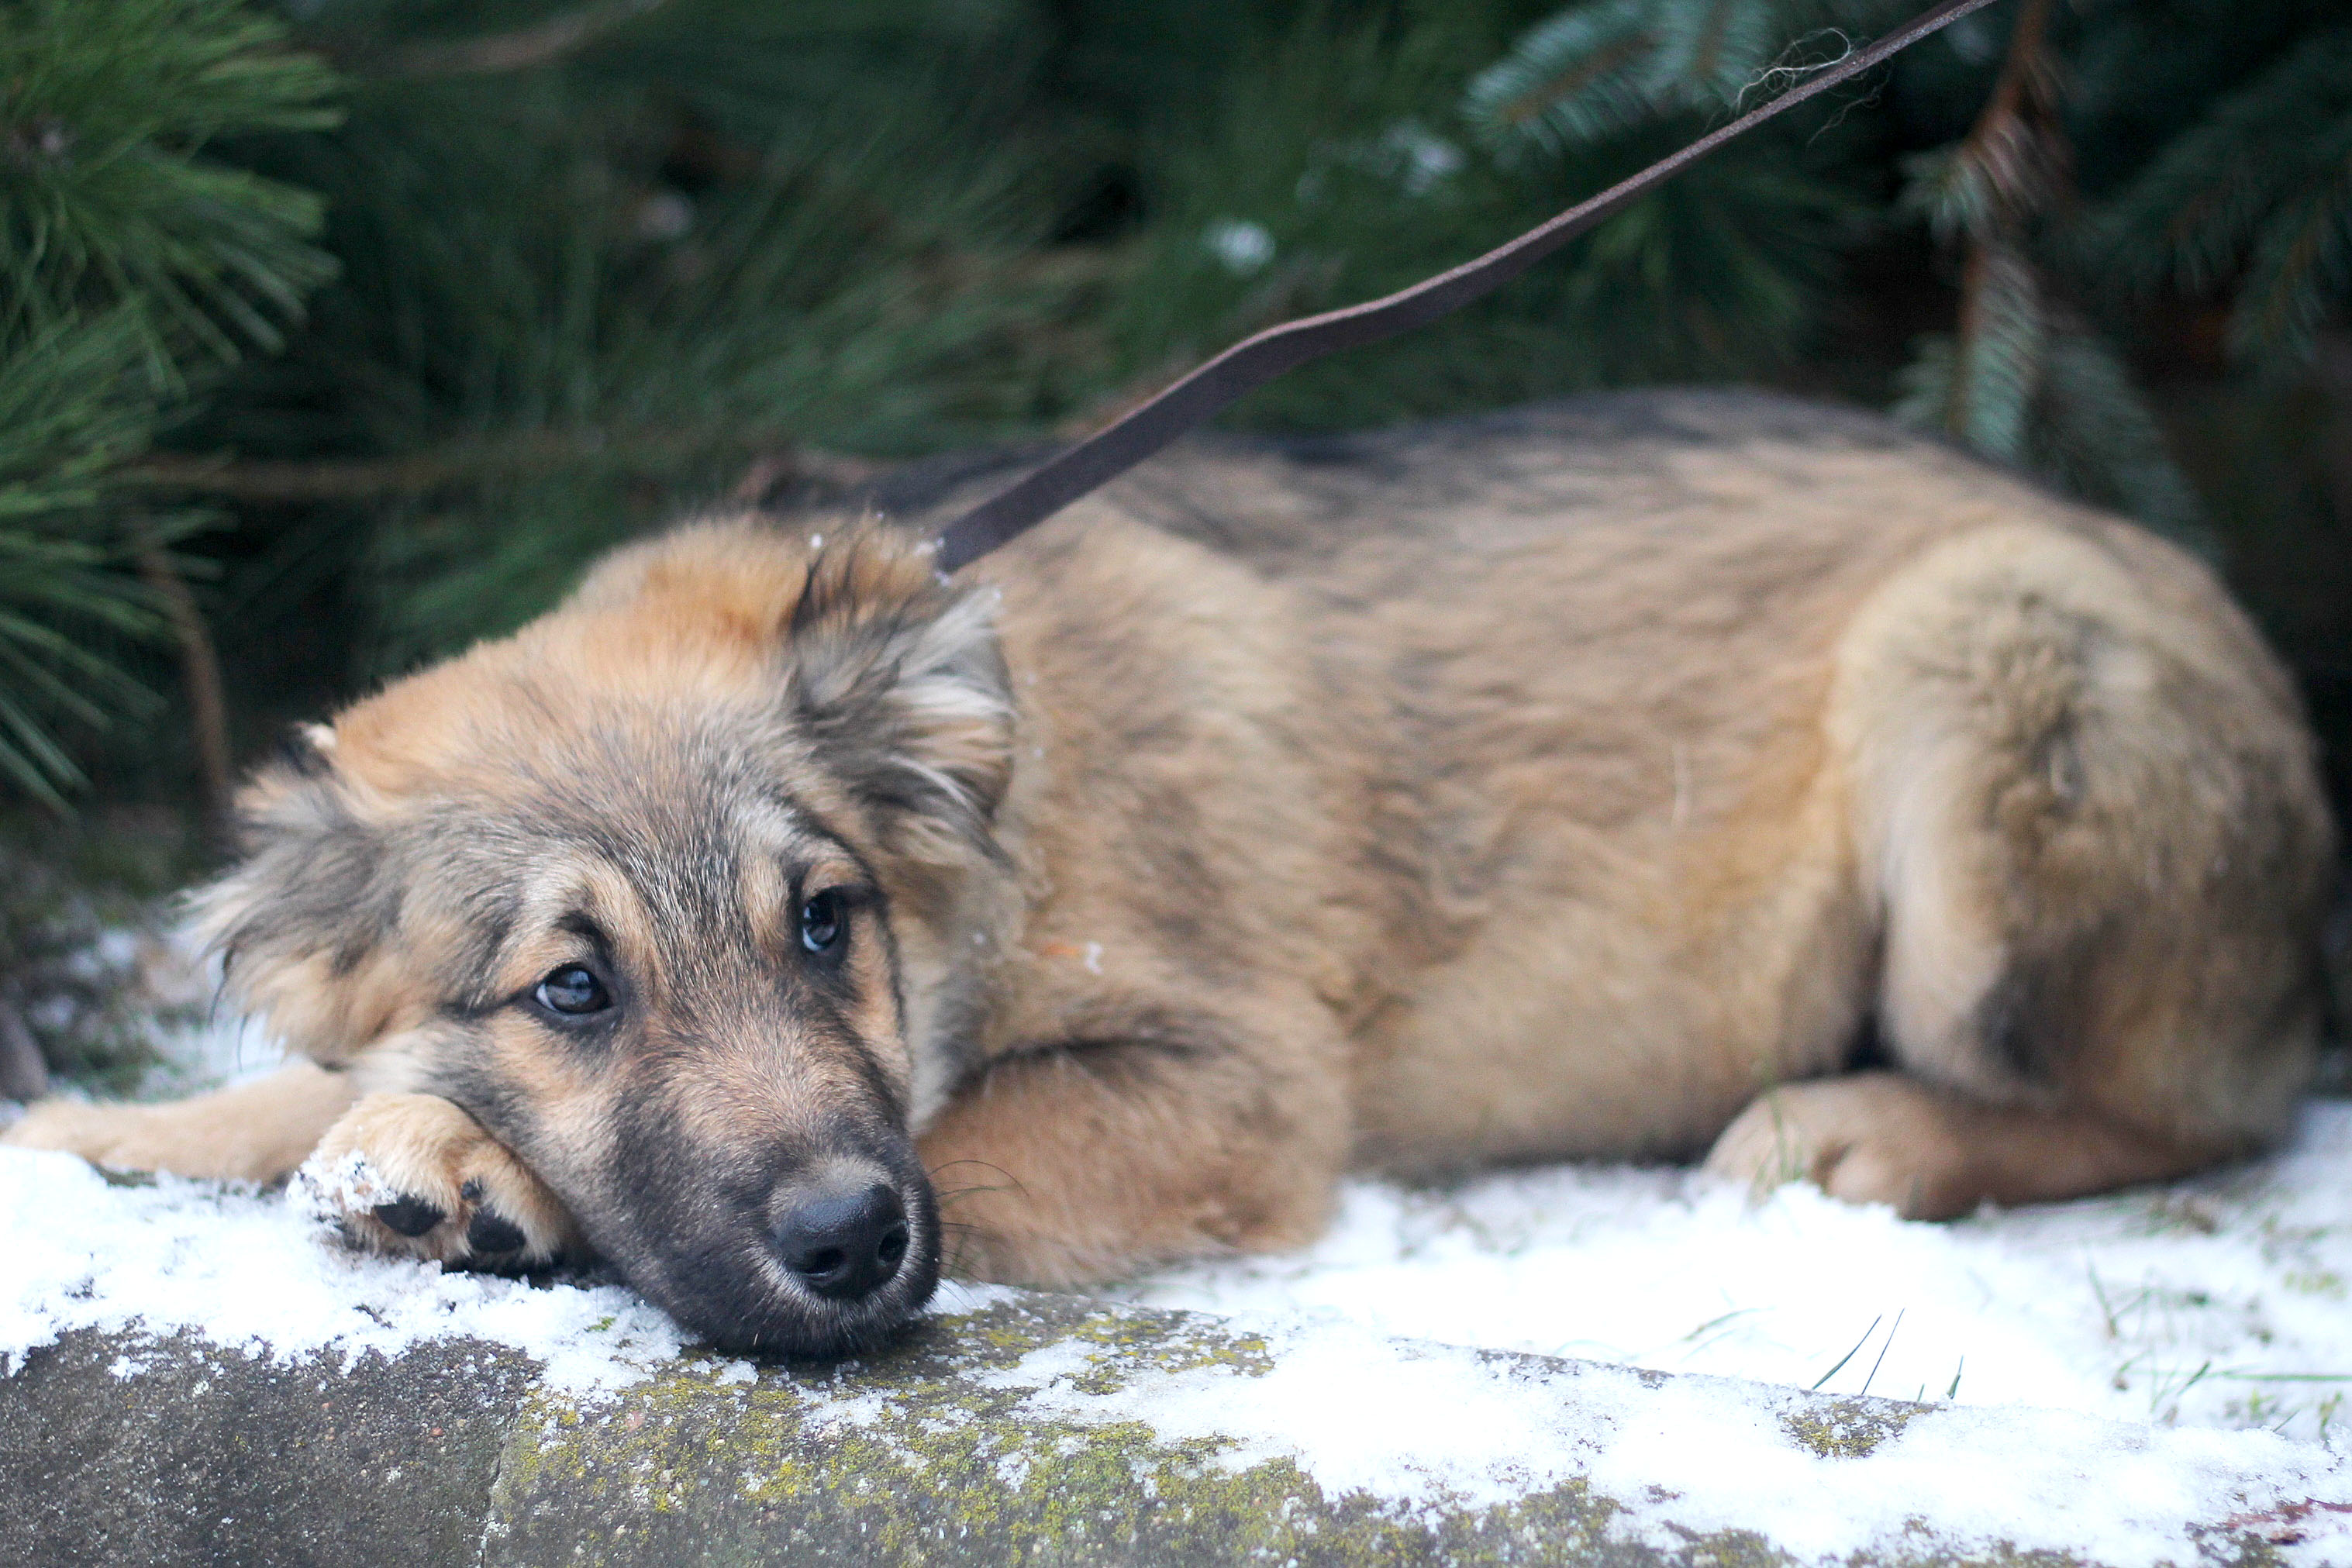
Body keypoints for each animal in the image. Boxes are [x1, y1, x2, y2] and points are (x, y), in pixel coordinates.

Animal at [7, 390, 2335, 1357]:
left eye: (826, 923)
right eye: (572, 987)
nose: (849, 1248)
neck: (989, 848)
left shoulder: (1222, 1088)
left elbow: (939, 1145)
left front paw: (473, 1177)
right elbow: (282, 1084)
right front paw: (118, 1128)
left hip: (1987, 665)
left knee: (2183, 1103)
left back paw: (1863, 1131)